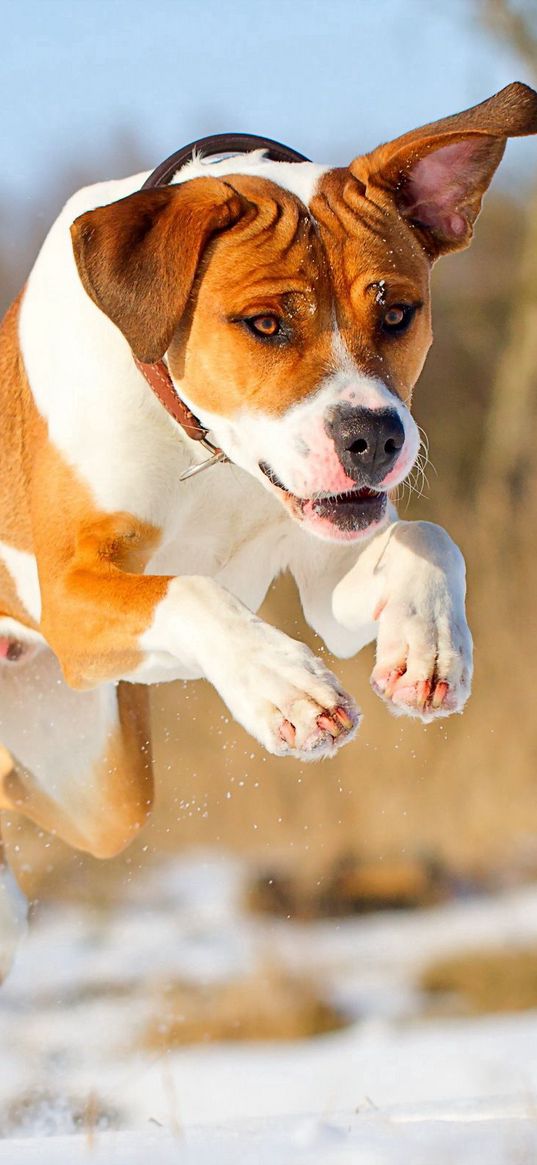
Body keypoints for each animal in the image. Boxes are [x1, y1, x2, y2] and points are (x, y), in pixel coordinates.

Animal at [0, 82, 533, 973]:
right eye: (264, 324)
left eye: (397, 312)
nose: (373, 436)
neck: (201, 448)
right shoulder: (70, 595)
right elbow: (191, 590)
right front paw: (283, 686)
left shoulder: (328, 565)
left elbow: (426, 539)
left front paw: (424, 648)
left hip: (99, 781)